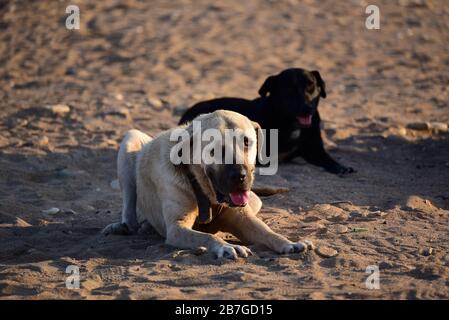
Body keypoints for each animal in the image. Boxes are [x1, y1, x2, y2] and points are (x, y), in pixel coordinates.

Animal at [102, 111, 314, 258]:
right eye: (215, 148)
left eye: (247, 142)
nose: (240, 176)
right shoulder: (176, 229)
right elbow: (207, 236)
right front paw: (226, 246)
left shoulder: (243, 218)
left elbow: (267, 232)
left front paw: (289, 243)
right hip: (130, 140)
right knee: (130, 211)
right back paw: (124, 226)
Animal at [178, 67, 354, 175]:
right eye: (290, 90)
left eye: (311, 86)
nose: (307, 108)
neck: (289, 122)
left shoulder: (314, 148)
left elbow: (327, 158)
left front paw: (340, 166)